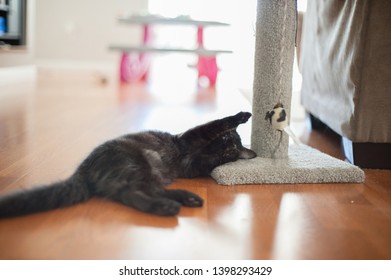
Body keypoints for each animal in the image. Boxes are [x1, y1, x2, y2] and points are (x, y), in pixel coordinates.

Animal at [0, 111, 258, 219]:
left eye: (232, 150)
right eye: (227, 139)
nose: (226, 148)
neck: (201, 150)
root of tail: (83, 168)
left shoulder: (191, 164)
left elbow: (207, 160)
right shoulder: (190, 140)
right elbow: (217, 122)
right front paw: (242, 115)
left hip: (140, 171)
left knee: (134, 193)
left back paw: (180, 202)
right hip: (137, 165)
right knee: (135, 192)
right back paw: (173, 205)